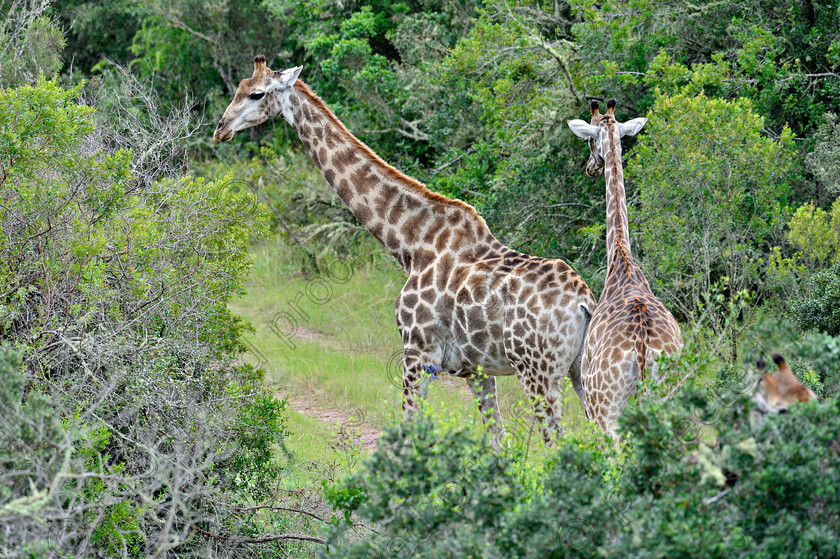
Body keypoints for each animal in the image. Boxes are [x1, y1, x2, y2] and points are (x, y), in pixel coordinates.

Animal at [217, 54, 596, 444]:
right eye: (239, 89)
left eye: (257, 93)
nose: (221, 129)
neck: (410, 242)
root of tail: (583, 303)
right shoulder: (475, 369)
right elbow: (496, 440)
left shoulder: (418, 352)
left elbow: (409, 427)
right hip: (582, 372)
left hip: (538, 372)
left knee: (558, 443)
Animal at [564, 101, 684, 442]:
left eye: (588, 141)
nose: (590, 168)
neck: (620, 259)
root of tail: (642, 350)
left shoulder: (593, 411)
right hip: (673, 404)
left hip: (607, 413)